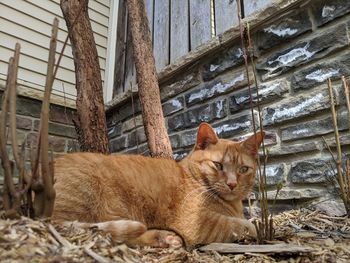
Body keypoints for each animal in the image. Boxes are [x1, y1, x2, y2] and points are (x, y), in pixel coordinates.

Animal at [53, 122, 264, 249]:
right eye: (218, 165)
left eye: (243, 169)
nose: (232, 184)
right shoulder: (201, 222)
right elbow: (241, 225)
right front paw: (259, 228)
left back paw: (165, 238)